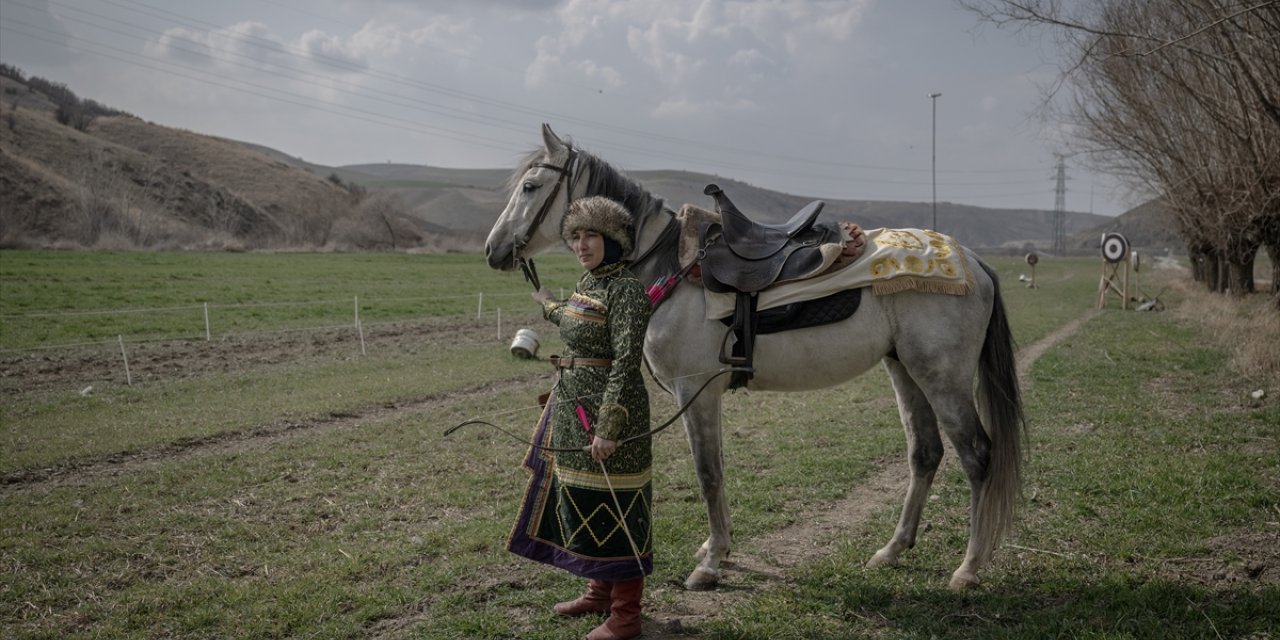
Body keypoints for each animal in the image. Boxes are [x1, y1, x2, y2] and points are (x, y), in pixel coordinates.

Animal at [483, 123, 1024, 588]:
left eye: (530, 186)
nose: (493, 250)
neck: (667, 265)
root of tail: (973, 261)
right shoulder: (704, 394)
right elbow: (717, 467)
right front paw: (714, 548)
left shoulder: (694, 390)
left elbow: (708, 472)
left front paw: (712, 564)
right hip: (905, 370)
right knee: (925, 453)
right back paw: (892, 550)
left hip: (942, 378)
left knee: (978, 455)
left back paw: (968, 569)